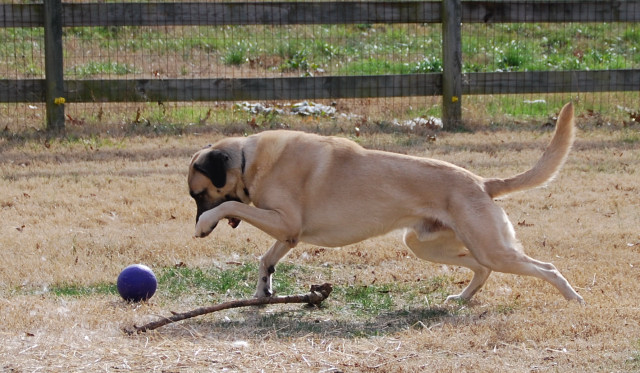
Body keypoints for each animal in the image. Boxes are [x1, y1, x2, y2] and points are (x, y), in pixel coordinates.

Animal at [189, 103, 584, 304]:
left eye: (198, 196)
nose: (197, 226)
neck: (247, 160)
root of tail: (482, 183)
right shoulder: (287, 235)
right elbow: (265, 260)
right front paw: (262, 291)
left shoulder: (284, 223)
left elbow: (231, 207)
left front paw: (205, 223)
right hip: (427, 245)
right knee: (482, 269)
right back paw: (461, 298)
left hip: (492, 249)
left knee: (547, 267)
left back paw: (573, 299)